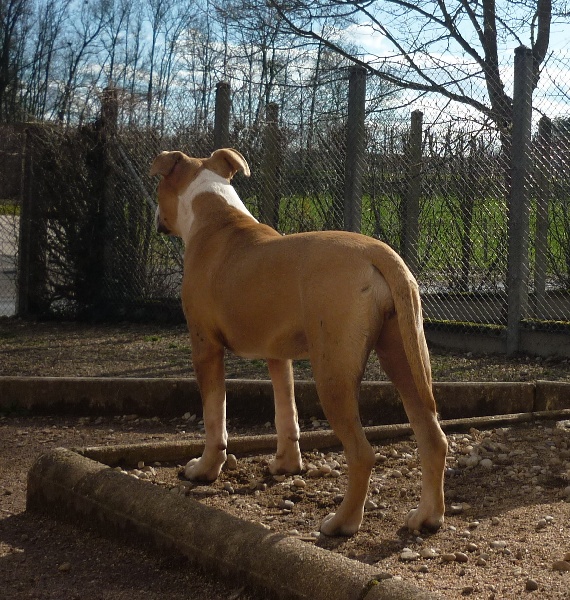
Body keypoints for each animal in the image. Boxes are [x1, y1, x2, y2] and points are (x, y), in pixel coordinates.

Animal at [152, 149, 448, 536]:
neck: (216, 215)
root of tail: (377, 252)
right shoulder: (278, 357)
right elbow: (286, 412)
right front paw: (286, 465)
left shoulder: (205, 348)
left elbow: (215, 415)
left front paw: (204, 469)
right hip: (404, 359)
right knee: (432, 439)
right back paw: (427, 516)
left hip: (333, 376)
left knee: (362, 453)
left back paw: (342, 522)